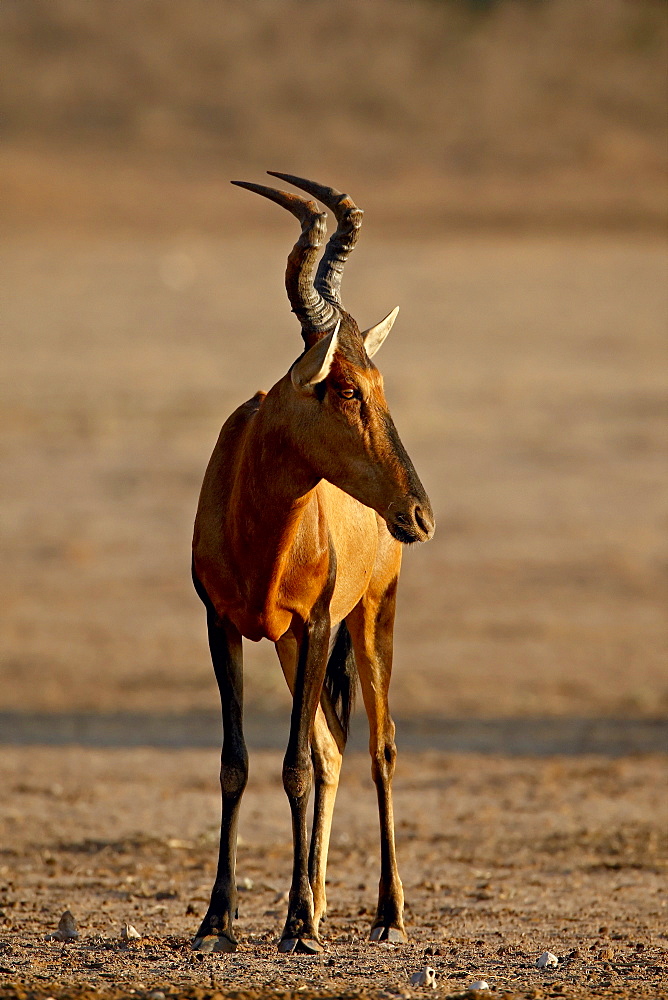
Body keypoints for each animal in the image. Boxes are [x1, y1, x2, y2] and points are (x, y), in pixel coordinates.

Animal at [193, 172, 434, 952]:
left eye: (379, 380)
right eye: (347, 386)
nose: (419, 513)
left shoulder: (321, 621)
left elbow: (293, 767)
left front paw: (296, 924)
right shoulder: (222, 625)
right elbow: (236, 764)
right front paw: (218, 921)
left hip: (371, 614)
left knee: (379, 748)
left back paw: (385, 915)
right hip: (289, 644)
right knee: (331, 748)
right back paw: (325, 904)